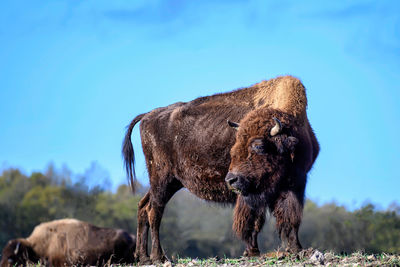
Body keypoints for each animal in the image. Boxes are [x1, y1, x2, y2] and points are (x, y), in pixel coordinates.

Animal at [123, 75, 320, 264]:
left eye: (259, 146)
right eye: (234, 148)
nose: (231, 180)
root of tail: (148, 115)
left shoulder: (295, 185)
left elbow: (291, 219)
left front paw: (297, 249)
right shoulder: (252, 193)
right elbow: (253, 221)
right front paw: (253, 252)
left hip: (171, 182)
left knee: (143, 207)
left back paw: (143, 258)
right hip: (161, 178)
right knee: (154, 211)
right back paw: (158, 257)